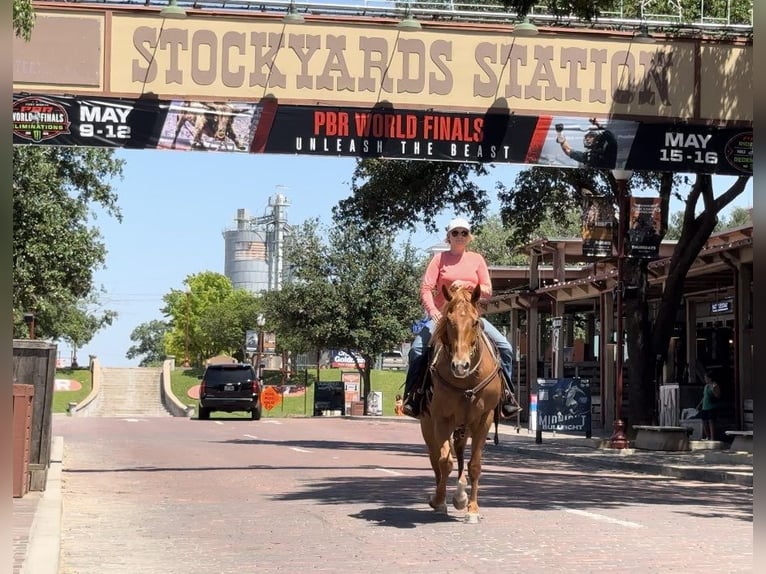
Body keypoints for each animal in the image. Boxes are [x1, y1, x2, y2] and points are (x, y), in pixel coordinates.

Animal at [420, 286, 504, 524]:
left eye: (475, 322)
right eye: (449, 321)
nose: (460, 366)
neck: (467, 381)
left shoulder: (483, 419)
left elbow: (474, 465)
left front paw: (472, 509)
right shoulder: (441, 419)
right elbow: (444, 461)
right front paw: (440, 500)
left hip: (464, 426)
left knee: (457, 452)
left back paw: (461, 494)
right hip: (428, 425)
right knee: (435, 458)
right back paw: (444, 497)